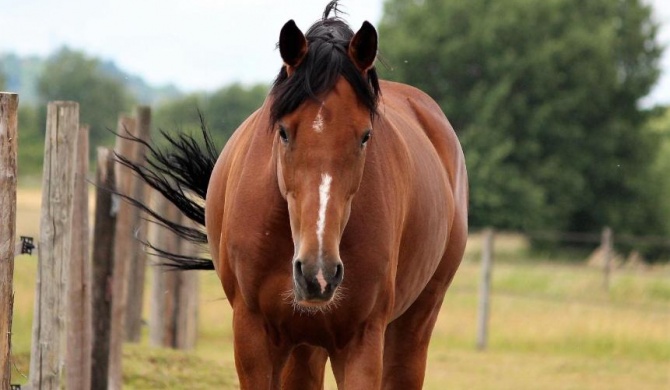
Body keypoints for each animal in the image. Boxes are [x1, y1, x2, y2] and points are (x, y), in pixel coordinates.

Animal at [118, 1, 470, 388]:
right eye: (284, 132)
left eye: (365, 136)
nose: (318, 274)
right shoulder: (254, 335)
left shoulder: (362, 339)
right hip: (305, 343)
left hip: (413, 325)